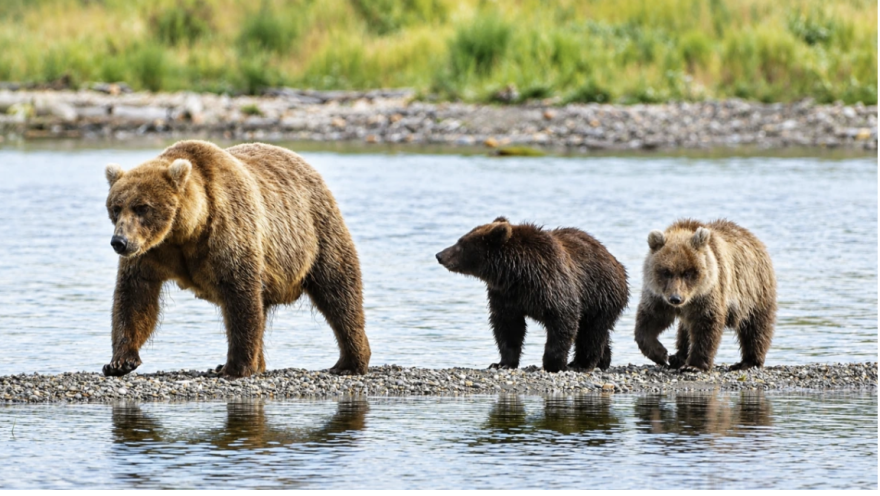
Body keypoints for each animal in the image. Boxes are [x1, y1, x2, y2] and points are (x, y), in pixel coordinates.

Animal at [102, 140, 370, 378]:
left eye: (142, 207)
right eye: (116, 207)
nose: (119, 242)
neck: (186, 231)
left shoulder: (227, 231)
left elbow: (240, 296)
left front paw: (236, 367)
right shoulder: (150, 253)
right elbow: (135, 297)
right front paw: (119, 362)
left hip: (315, 231)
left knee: (338, 290)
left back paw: (349, 362)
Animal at [436, 217, 629, 372]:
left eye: (461, 244)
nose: (439, 255)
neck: (516, 273)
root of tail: (614, 260)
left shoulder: (552, 284)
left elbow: (563, 319)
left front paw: (553, 364)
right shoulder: (505, 295)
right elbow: (508, 327)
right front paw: (502, 363)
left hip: (600, 293)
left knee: (592, 331)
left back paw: (582, 364)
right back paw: (602, 361)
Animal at [633, 219, 776, 372]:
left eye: (688, 272)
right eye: (666, 272)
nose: (676, 299)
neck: (690, 299)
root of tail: (753, 237)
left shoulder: (708, 292)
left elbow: (706, 324)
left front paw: (694, 365)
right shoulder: (658, 296)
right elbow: (650, 320)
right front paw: (661, 354)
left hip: (754, 289)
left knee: (756, 326)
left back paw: (748, 361)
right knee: (684, 329)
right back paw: (678, 357)